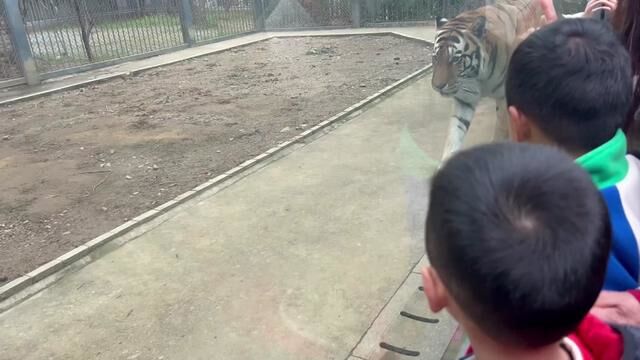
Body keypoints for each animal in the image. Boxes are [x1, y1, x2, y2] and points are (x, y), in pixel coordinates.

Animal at [430, 0, 544, 159]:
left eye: (456, 59)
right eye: (435, 58)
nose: (437, 86)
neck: (478, 76)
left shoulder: (504, 98)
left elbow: (501, 128)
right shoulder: (464, 99)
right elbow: (455, 133)